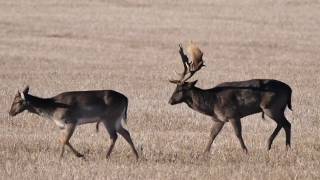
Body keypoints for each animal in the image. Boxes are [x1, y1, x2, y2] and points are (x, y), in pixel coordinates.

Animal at [8, 86, 139, 160]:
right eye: (13, 100)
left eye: (18, 101)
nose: (10, 112)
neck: (52, 109)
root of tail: (125, 98)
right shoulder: (61, 126)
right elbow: (61, 140)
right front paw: (60, 157)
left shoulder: (71, 121)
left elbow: (65, 140)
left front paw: (80, 155)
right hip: (116, 119)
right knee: (125, 133)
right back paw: (137, 156)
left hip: (109, 118)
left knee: (114, 136)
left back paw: (106, 156)